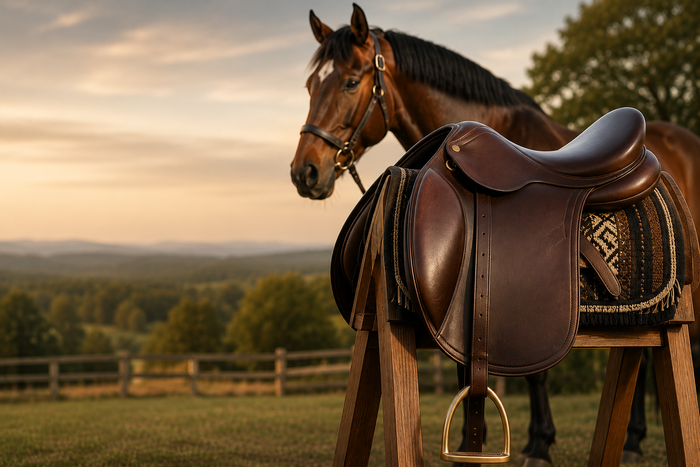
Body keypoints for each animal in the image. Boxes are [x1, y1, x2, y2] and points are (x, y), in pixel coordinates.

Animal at [290, 4, 700, 465]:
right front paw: (481, 440)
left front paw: (538, 444)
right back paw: (632, 439)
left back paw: (632, 440)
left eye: (350, 81)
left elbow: (535, 373)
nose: (305, 172)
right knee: (640, 348)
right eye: (310, 85)